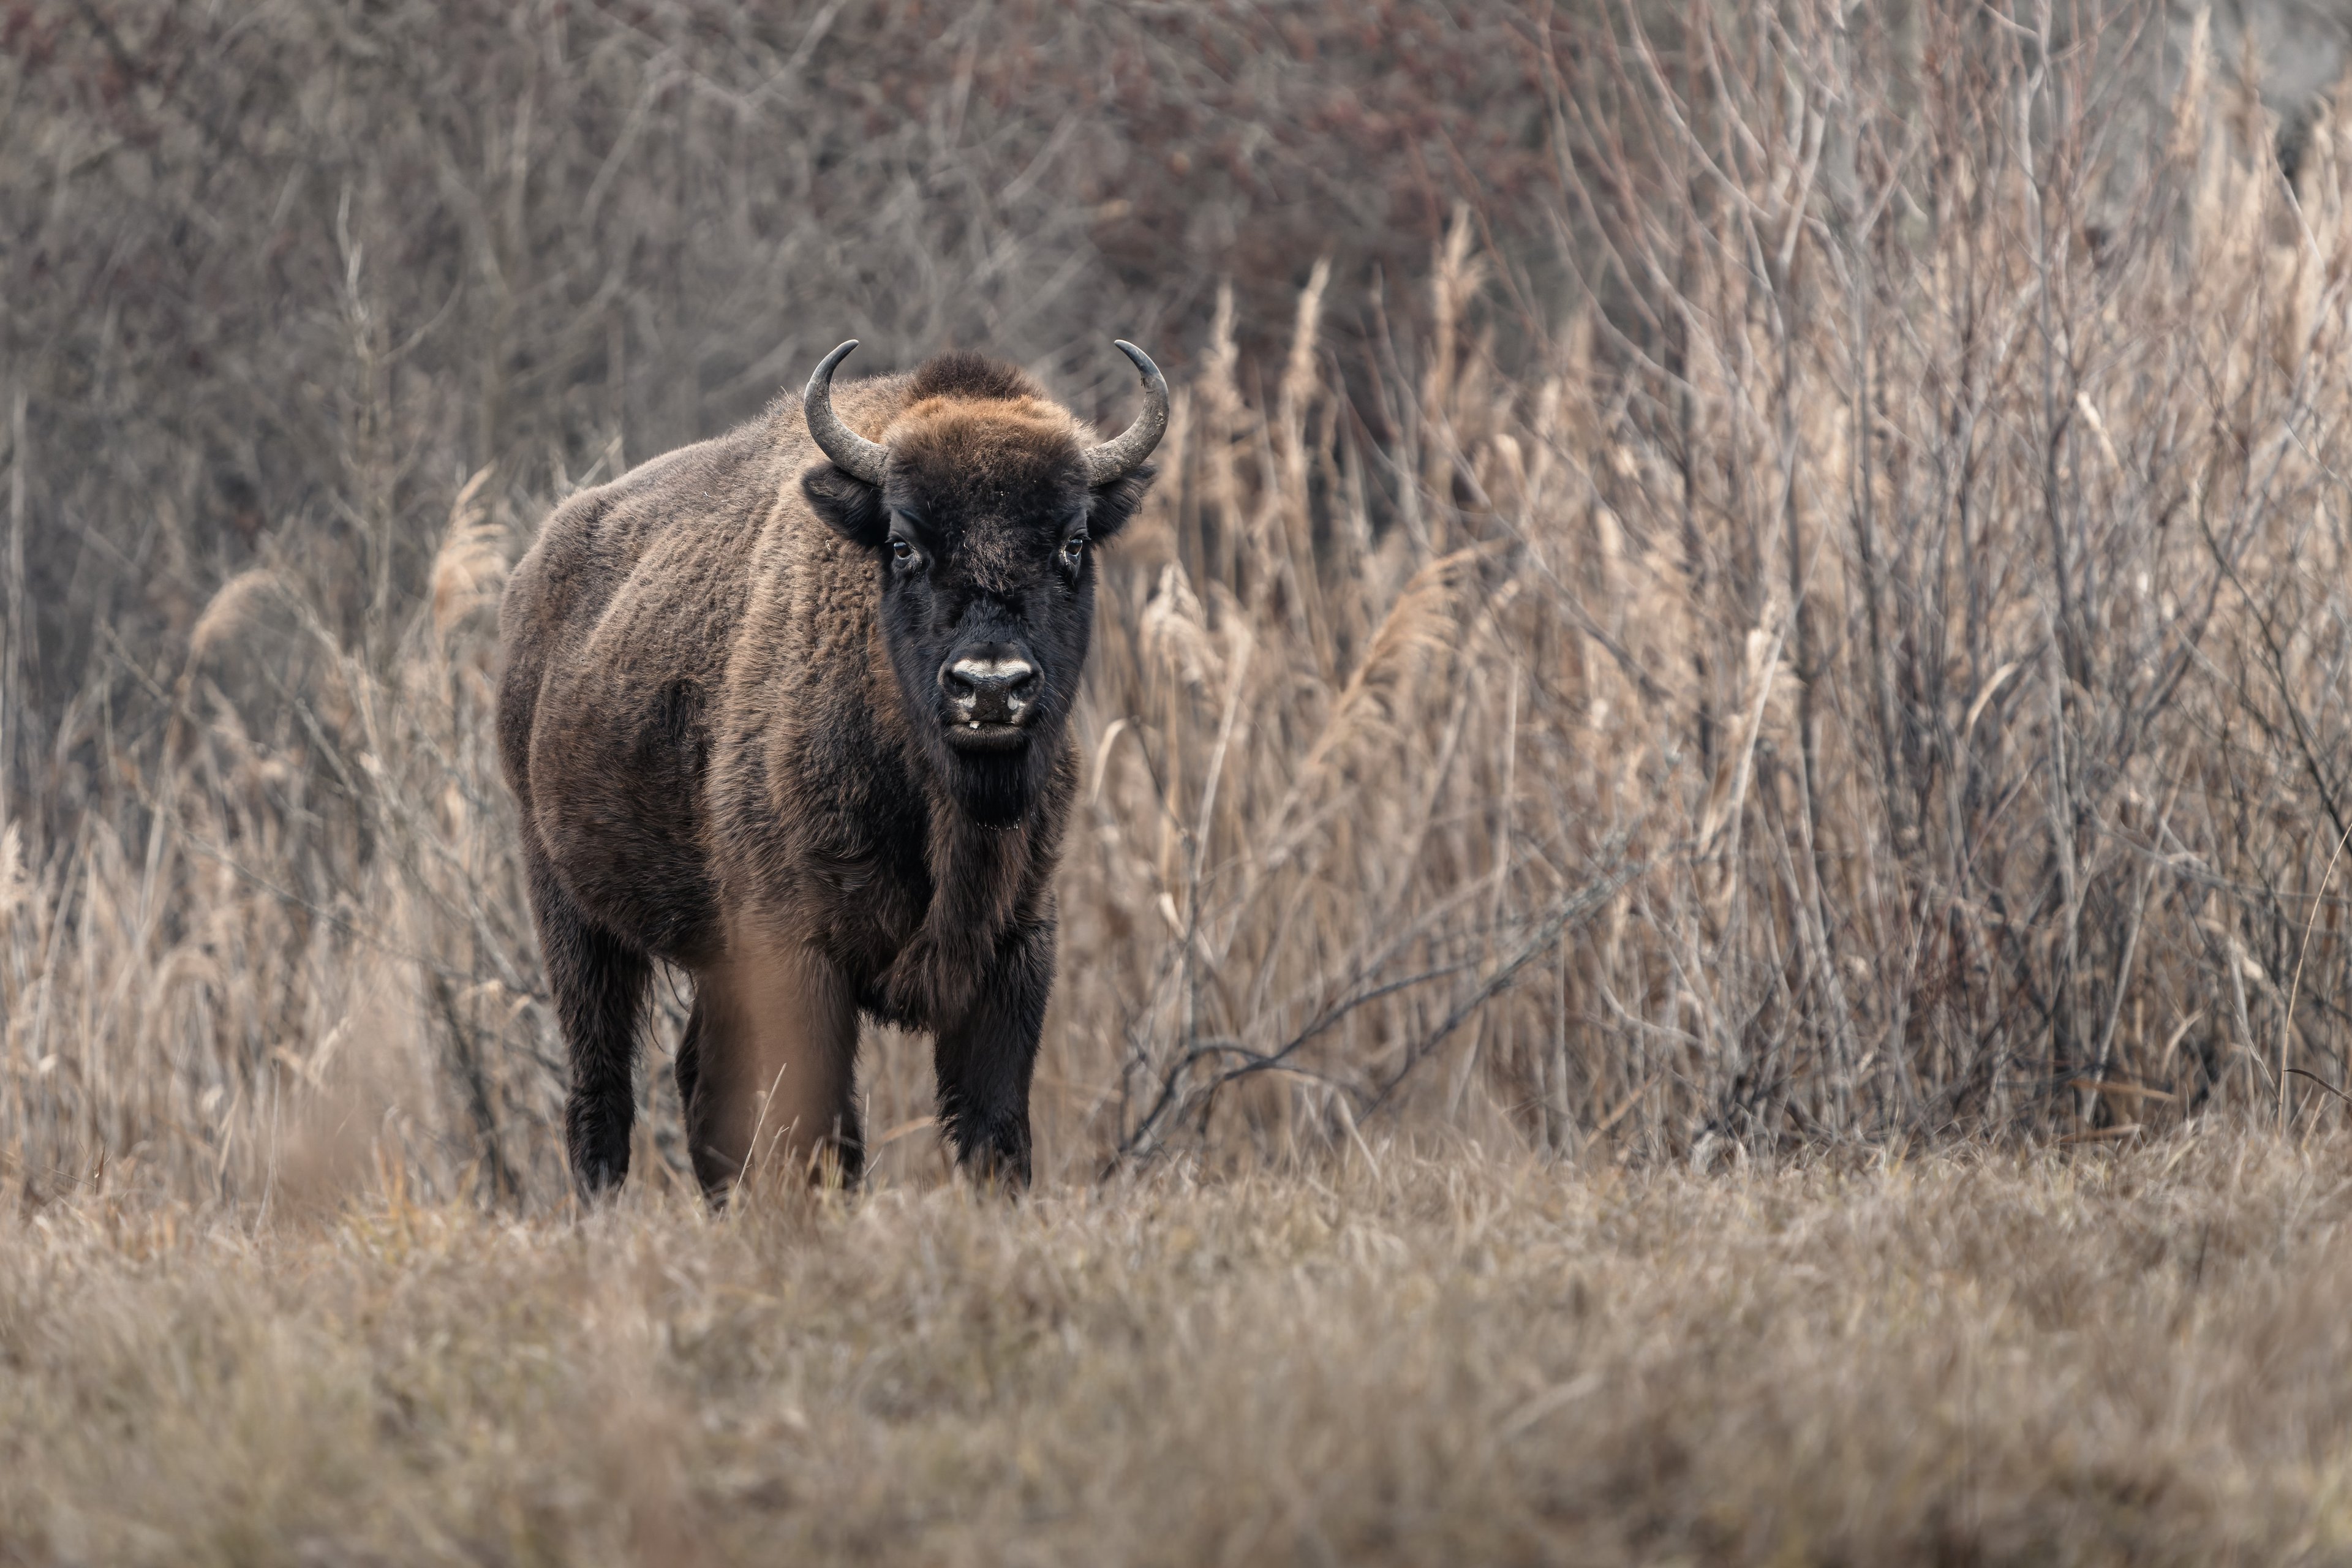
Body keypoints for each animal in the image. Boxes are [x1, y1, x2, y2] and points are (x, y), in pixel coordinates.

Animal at [497, 341, 1166, 1197]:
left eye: (1073, 541)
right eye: (904, 543)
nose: (989, 688)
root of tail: (534, 577)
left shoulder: (1016, 949)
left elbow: (995, 1133)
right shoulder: (800, 955)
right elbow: (825, 1134)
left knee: (695, 1082)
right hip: (571, 914)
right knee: (601, 1093)